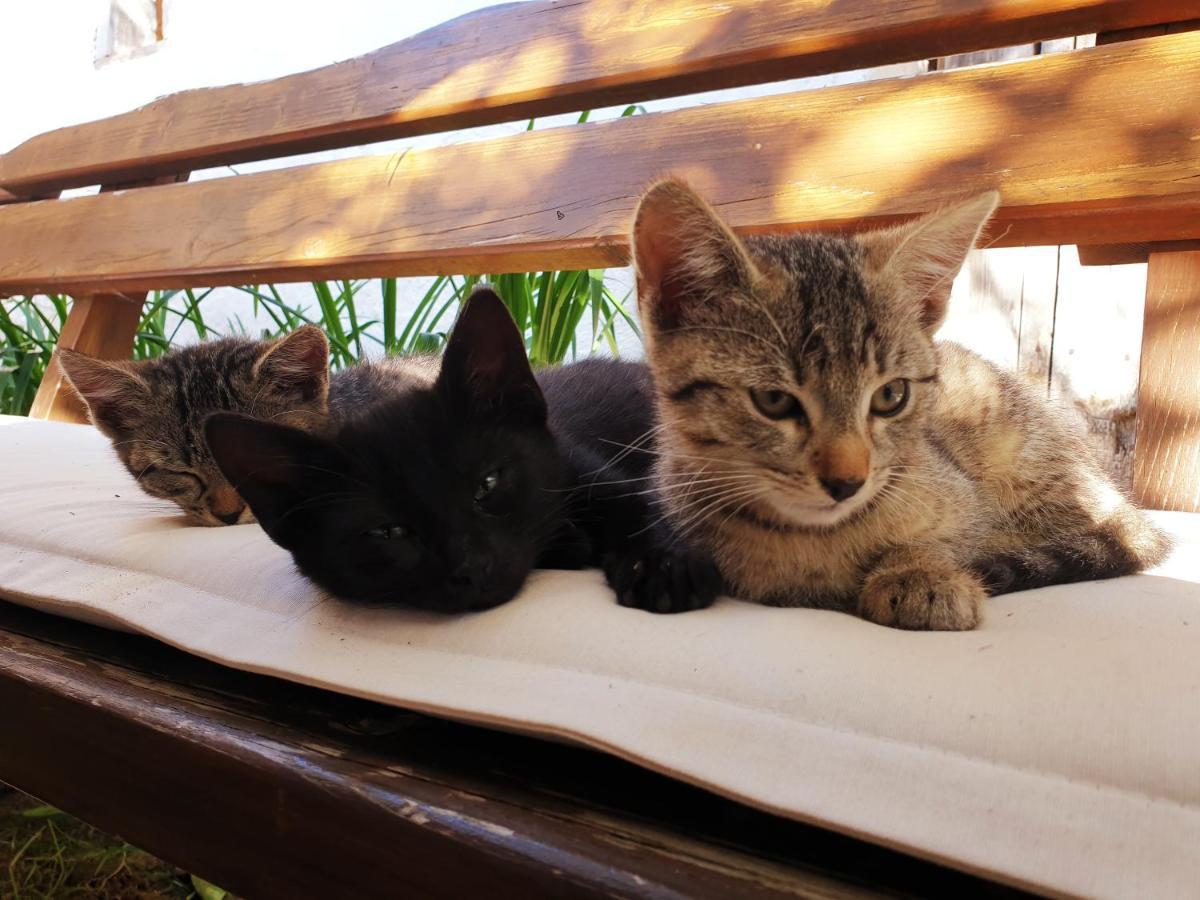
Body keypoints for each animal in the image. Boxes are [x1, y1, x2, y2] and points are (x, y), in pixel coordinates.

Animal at [633, 180, 1166, 633]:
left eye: (891, 396)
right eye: (773, 400)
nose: (847, 482)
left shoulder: (962, 499)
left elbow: (948, 540)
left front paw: (920, 574)